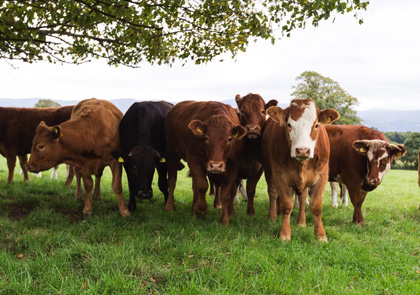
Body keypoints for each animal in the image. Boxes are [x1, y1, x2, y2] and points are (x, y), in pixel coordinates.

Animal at [260, 98, 340, 242]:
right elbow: (287, 204)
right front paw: (285, 234)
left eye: (316, 125)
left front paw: (320, 235)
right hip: (268, 170)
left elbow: (315, 206)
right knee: (273, 192)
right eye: (289, 125)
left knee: (302, 197)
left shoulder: (322, 175)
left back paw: (301, 222)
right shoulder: (278, 174)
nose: (302, 150)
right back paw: (272, 217)